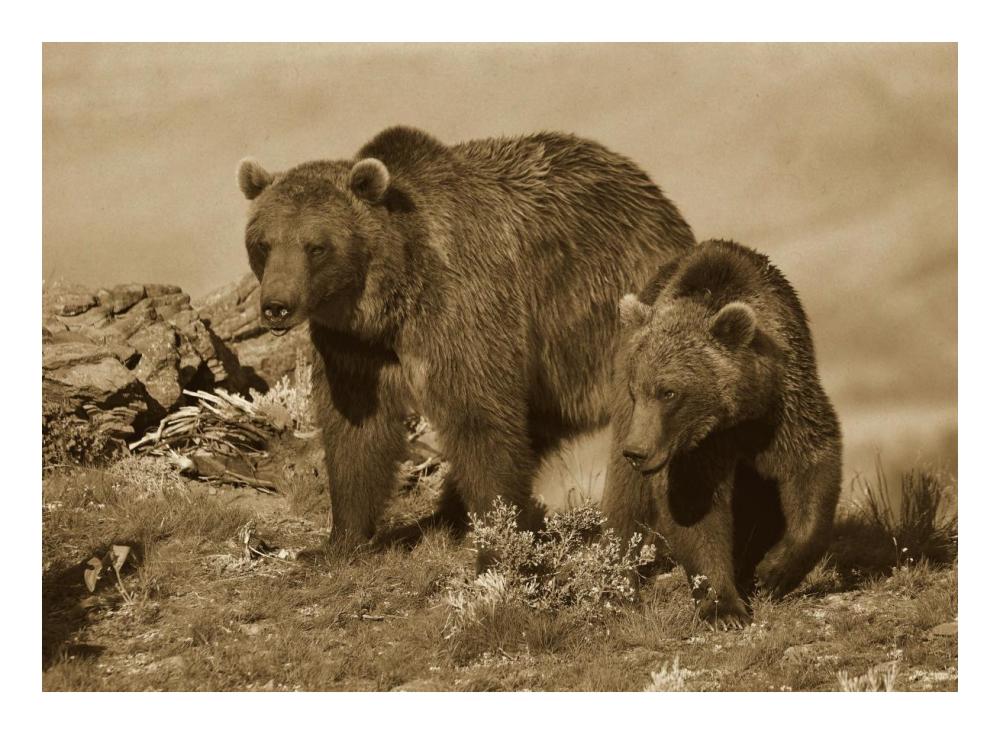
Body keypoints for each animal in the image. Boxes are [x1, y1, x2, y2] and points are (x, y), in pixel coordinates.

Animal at [236, 126, 695, 553]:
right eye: (263, 243)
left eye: (316, 246)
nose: (276, 305)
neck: (392, 299)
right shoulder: (354, 346)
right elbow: (356, 430)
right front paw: (340, 541)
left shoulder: (463, 308)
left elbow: (480, 417)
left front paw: (500, 541)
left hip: (610, 331)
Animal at [602, 239, 842, 629]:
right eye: (637, 390)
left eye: (669, 392)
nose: (637, 451)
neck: (737, 412)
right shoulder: (697, 447)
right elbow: (695, 505)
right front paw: (724, 608)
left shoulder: (783, 404)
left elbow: (809, 463)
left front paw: (773, 571)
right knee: (626, 498)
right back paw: (618, 591)